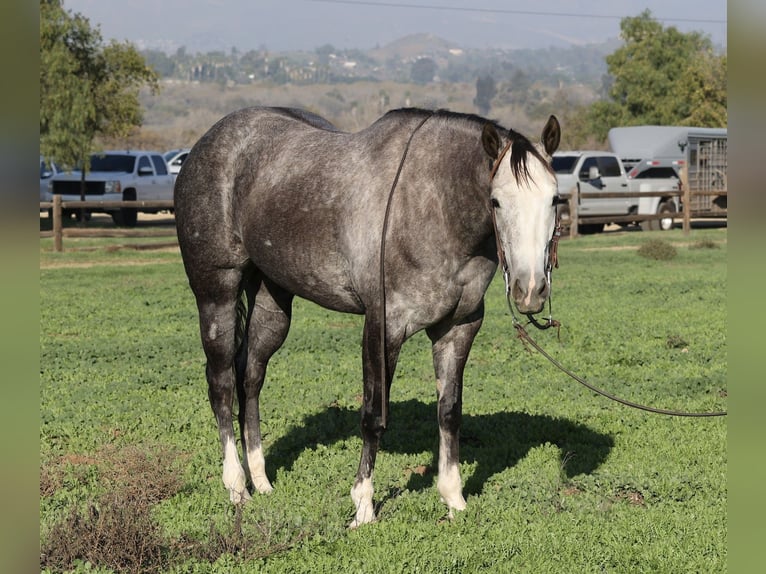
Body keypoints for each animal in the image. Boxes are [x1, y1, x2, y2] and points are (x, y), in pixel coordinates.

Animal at [174, 106, 561, 527]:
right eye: (496, 201)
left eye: (555, 199)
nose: (530, 289)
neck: (431, 204)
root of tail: (203, 147)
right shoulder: (382, 327)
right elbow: (374, 416)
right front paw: (363, 507)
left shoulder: (458, 328)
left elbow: (449, 412)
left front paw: (454, 499)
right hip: (217, 296)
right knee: (223, 383)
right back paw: (236, 486)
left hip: (271, 304)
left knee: (251, 379)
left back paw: (260, 480)